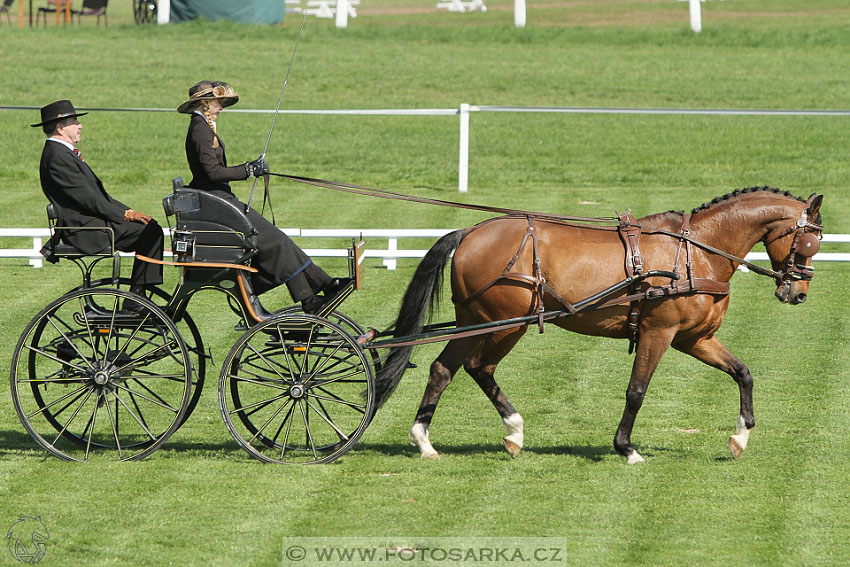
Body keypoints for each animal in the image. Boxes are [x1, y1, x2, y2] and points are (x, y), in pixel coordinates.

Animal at [372, 189, 820, 464]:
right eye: (810, 242)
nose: (797, 293)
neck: (695, 253)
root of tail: (470, 231)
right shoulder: (659, 334)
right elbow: (637, 391)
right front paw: (626, 448)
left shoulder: (695, 338)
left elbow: (743, 373)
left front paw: (741, 436)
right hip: (500, 324)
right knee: (470, 367)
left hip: (479, 323)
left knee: (450, 369)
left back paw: (465, 437)